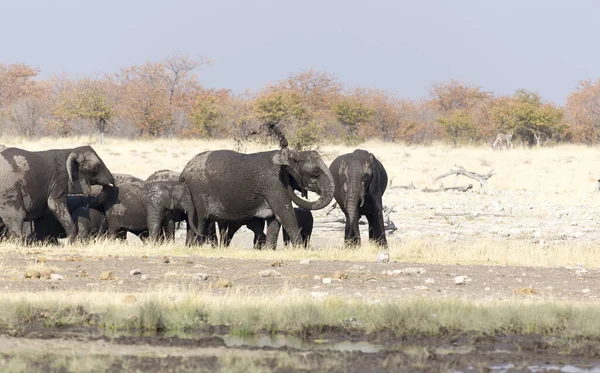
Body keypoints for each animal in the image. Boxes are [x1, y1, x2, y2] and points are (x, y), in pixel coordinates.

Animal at [180, 147, 336, 248]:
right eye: (315, 172)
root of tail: (184, 170)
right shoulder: (274, 184)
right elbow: (286, 215)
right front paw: (300, 249)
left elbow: (275, 220)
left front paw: (269, 250)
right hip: (198, 192)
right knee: (200, 220)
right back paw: (195, 247)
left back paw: (189, 247)